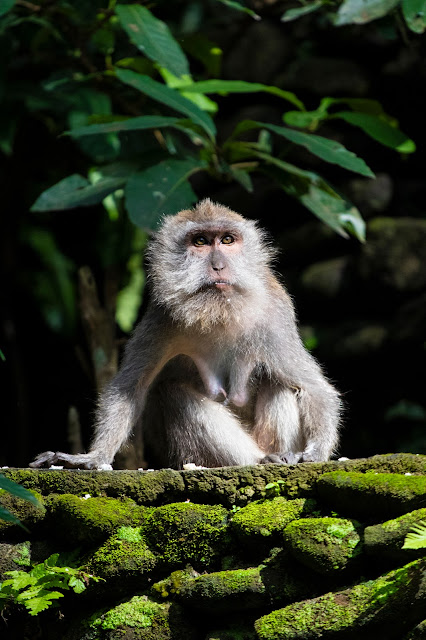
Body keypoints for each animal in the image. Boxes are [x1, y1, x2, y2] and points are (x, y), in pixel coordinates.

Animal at [30, 199, 340, 470]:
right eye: (200, 242)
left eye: (228, 240)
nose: (218, 266)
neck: (216, 314)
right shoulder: (161, 319)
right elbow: (130, 389)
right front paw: (93, 457)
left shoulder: (274, 316)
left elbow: (314, 387)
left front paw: (316, 452)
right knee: (174, 392)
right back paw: (259, 460)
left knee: (281, 382)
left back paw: (274, 456)